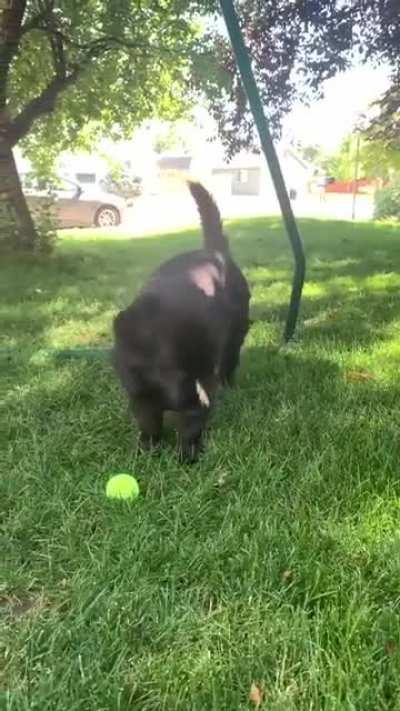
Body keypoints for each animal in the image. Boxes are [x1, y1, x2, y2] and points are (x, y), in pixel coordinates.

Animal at [113, 184, 250, 462]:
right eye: (173, 368)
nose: (206, 402)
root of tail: (216, 252)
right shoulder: (140, 397)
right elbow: (148, 426)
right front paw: (146, 451)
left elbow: (188, 430)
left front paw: (186, 458)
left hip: (236, 334)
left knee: (231, 361)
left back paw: (229, 386)